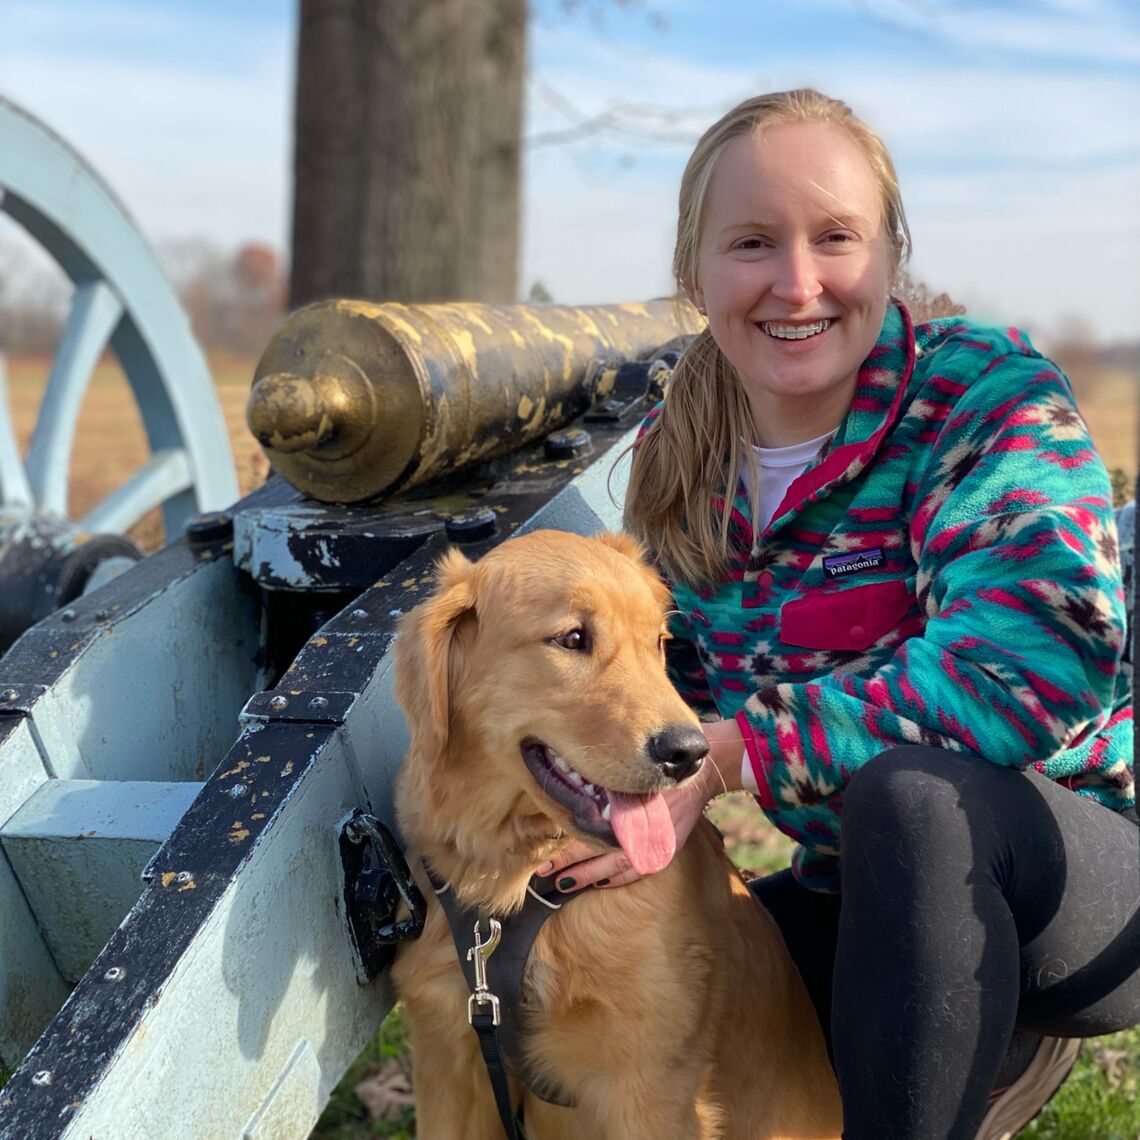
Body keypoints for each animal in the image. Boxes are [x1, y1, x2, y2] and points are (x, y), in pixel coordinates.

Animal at [392, 528, 848, 1135]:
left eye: (657, 642)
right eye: (572, 638)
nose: (691, 754)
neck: (520, 891)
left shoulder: (652, 1087)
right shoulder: (450, 1057)